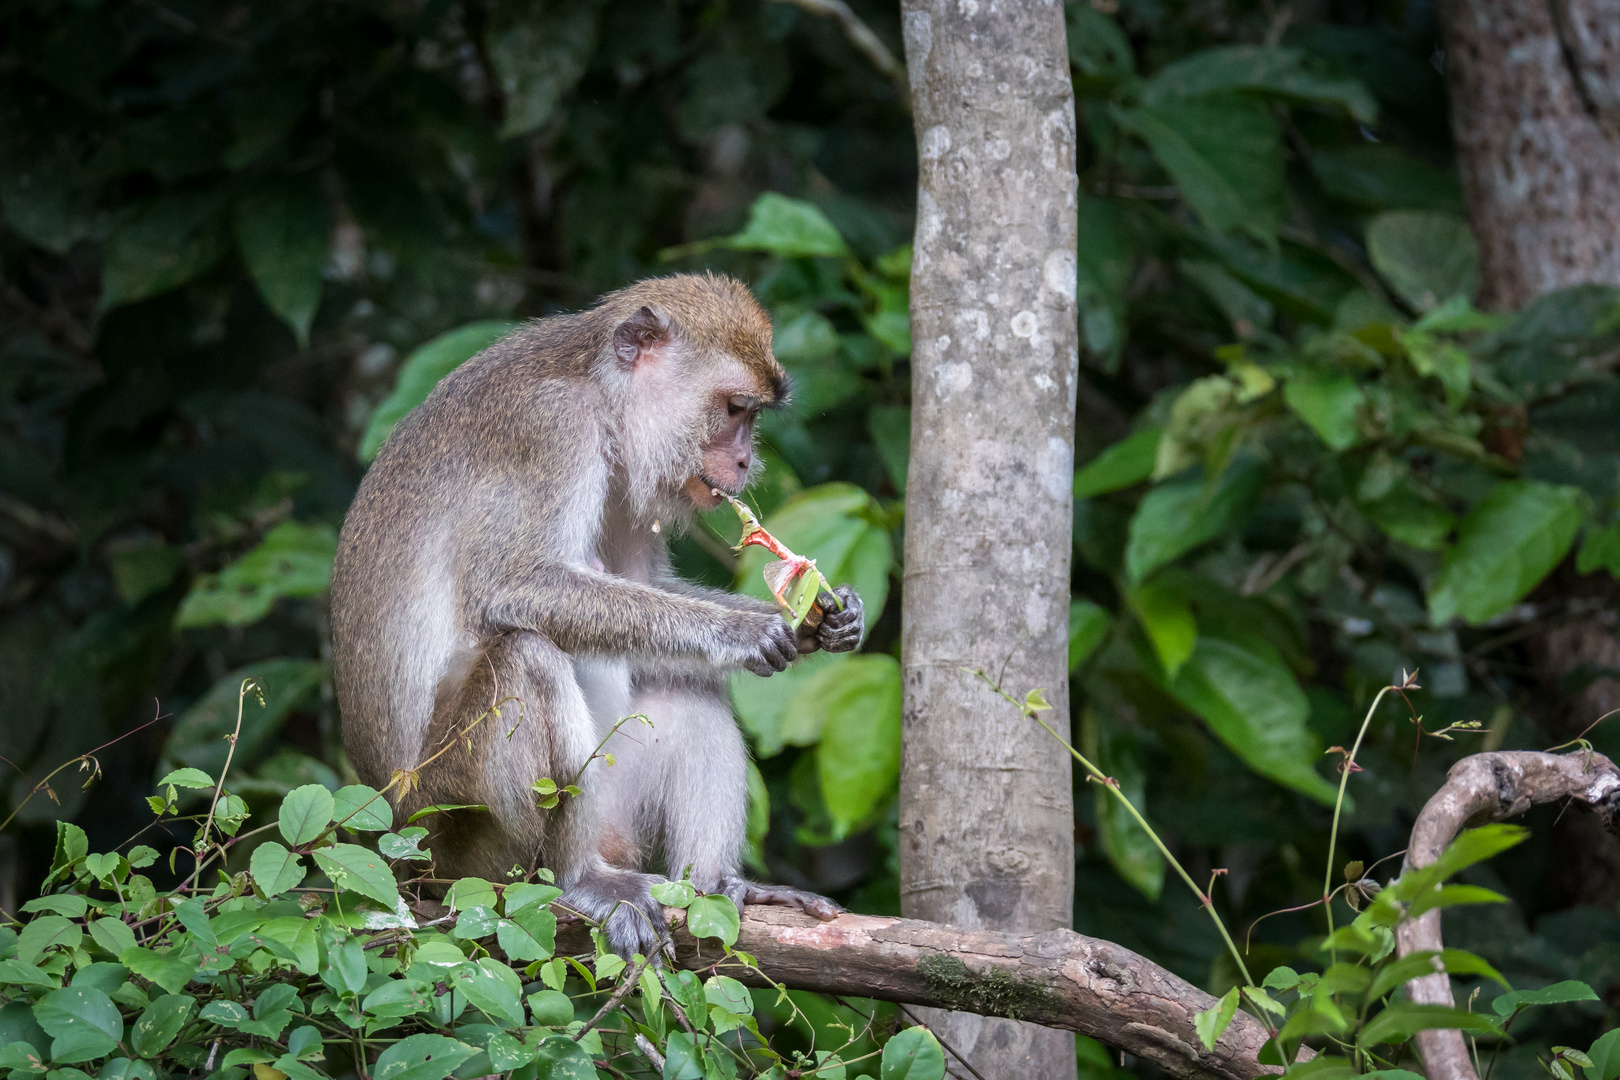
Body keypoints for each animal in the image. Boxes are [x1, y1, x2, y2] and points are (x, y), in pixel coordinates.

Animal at [325, 270, 861, 952]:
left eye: (752, 417)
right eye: (735, 410)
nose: (744, 462)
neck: (599, 391)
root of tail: (397, 849)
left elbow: (644, 585)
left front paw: (828, 618)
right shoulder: (551, 432)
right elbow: (512, 586)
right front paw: (742, 630)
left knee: (686, 689)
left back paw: (717, 885)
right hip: (454, 832)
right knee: (528, 656)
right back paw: (580, 878)